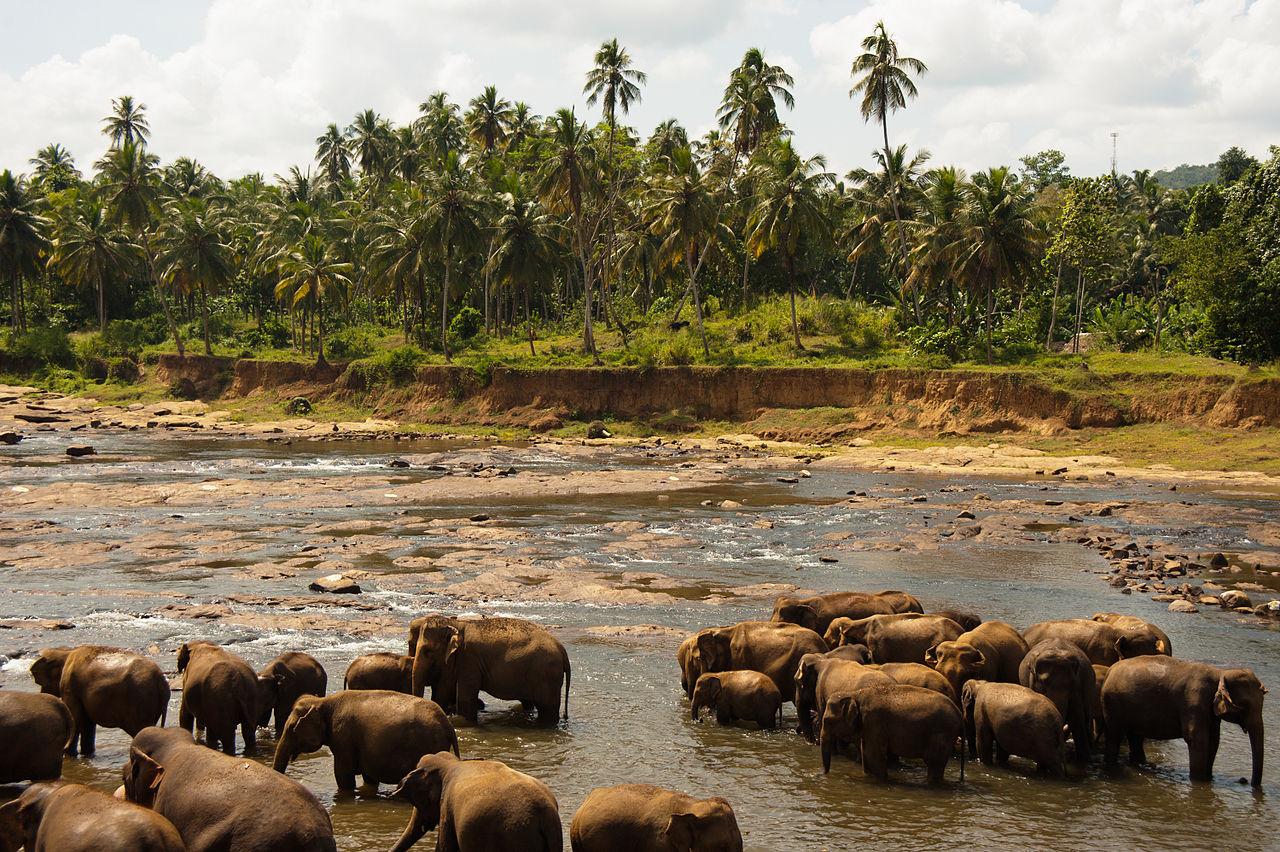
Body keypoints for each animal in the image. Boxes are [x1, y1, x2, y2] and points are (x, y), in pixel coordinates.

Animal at [29, 645, 169, 756]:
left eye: (39, 681)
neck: (66, 652)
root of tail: (161, 680)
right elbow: (87, 724)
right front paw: (86, 754)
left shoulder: (70, 685)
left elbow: (76, 719)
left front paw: (69, 755)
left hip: (140, 701)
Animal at [272, 690, 459, 791]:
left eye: (291, 728)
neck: (323, 701)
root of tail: (447, 722)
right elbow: (369, 776)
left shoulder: (343, 736)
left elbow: (343, 774)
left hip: (431, 742)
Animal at [409, 615, 570, 725]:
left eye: (428, 651)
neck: (457, 624)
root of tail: (562, 650)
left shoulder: (469, 660)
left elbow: (465, 696)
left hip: (546, 675)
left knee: (547, 709)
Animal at [820, 683, 964, 783]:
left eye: (827, 720)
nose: (823, 774)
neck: (855, 693)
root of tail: (959, 713)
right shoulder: (868, 726)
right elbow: (866, 753)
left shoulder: (873, 721)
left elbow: (873, 755)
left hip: (943, 732)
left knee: (934, 762)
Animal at [1102, 656, 1265, 786]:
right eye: (1244, 705)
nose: (1244, 781)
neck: (1220, 673)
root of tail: (1110, 670)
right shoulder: (1194, 703)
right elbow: (1198, 740)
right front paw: (1199, 781)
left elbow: (1214, 741)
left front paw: (1208, 778)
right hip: (1113, 704)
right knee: (1115, 736)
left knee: (1135, 737)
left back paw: (1140, 763)